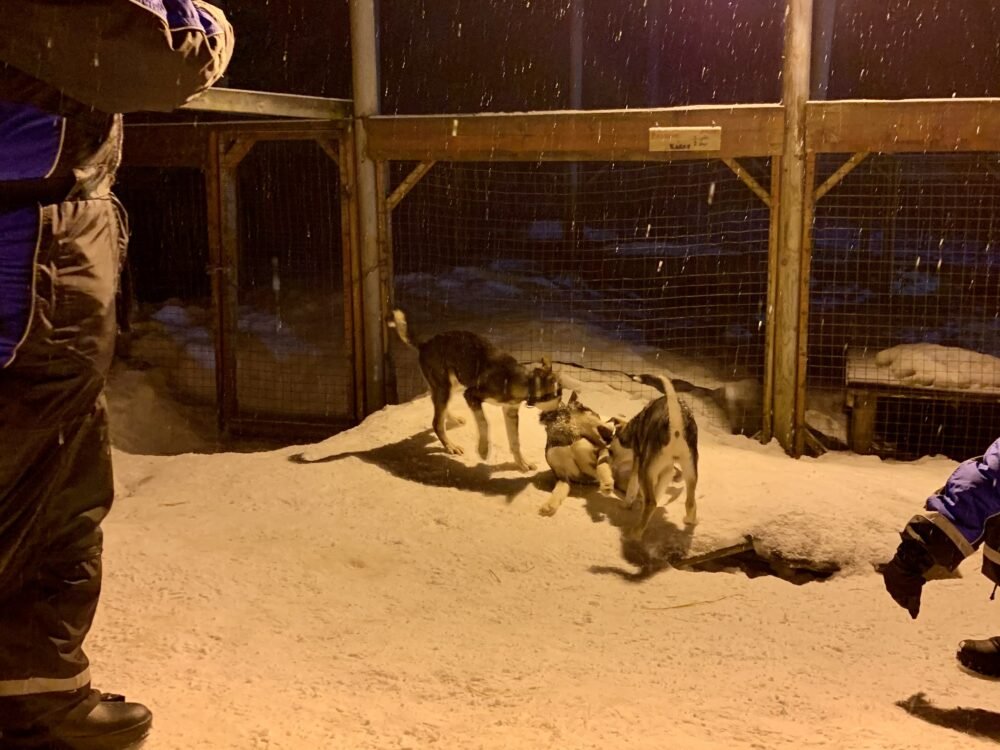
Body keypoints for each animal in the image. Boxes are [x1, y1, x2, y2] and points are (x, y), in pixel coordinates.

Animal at [390, 308, 564, 472]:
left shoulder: (510, 412)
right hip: (446, 387)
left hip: (454, 383)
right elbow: (484, 423)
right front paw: (483, 450)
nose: (562, 415)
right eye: (558, 398)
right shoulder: (471, 395)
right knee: (437, 422)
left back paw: (453, 419)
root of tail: (425, 344)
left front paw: (522, 463)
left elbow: (515, 441)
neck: (522, 380)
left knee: (437, 405)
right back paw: (450, 446)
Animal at [604, 374, 700, 540]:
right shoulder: (667, 470)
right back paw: (690, 521)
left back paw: (635, 533)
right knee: (690, 502)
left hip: (646, 470)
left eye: (611, 451)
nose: (609, 459)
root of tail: (676, 428)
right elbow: (658, 490)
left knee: (651, 502)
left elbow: (632, 487)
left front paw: (626, 504)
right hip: (690, 468)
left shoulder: (638, 462)